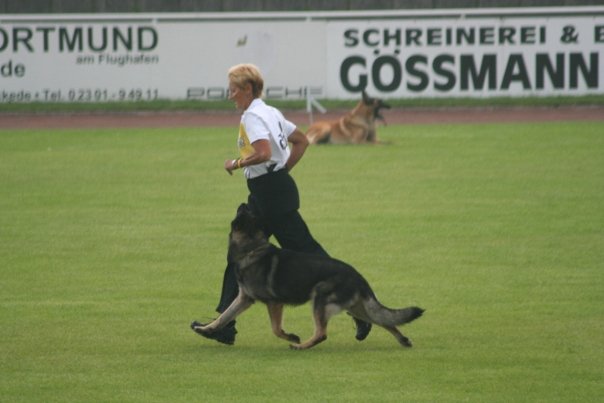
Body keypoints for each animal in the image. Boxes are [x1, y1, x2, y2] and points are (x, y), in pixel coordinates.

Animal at [193, 205, 424, 350]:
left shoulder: (274, 303)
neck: (252, 248)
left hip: (320, 298)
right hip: (357, 307)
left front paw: (292, 336)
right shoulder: (244, 299)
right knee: (386, 321)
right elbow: (225, 316)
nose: (243, 203)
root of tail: (359, 277)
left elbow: (276, 329)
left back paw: (300, 345)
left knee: (322, 333)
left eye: (245, 211)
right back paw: (403, 340)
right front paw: (207, 329)